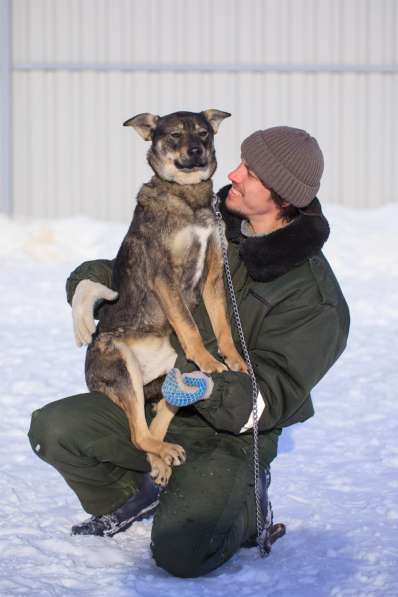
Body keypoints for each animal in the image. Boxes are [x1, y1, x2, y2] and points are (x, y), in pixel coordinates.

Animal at [85, 109, 247, 484]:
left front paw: (232, 358)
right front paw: (209, 361)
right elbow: (189, 325)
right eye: (174, 135)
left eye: (203, 133)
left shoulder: (214, 274)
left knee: (155, 421)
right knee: (137, 433)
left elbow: (223, 325)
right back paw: (164, 453)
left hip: (174, 369)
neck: (188, 196)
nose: (196, 151)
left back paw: (161, 458)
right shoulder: (164, 275)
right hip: (121, 363)